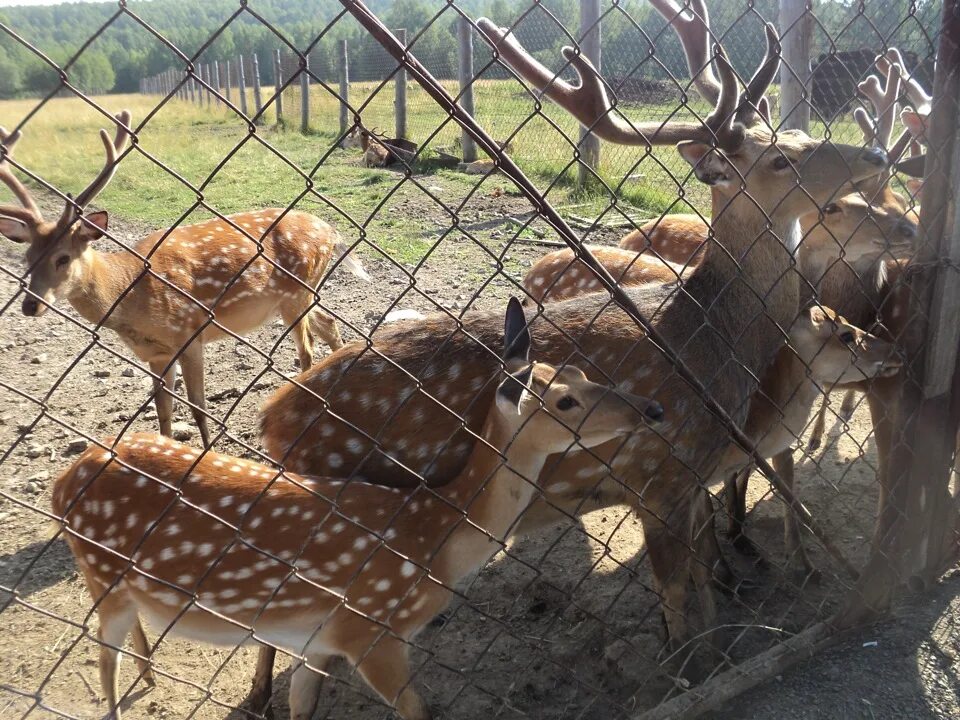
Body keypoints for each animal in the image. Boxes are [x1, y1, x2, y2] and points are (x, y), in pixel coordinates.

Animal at [0, 109, 370, 448]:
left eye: (62, 257)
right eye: (28, 258)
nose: (30, 305)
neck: (129, 290)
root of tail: (331, 231)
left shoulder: (189, 334)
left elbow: (197, 407)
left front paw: (206, 454)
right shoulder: (156, 354)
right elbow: (163, 411)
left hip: (296, 291)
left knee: (307, 351)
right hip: (301, 294)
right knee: (328, 325)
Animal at [52, 296, 664, 716]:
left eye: (580, 371)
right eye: (566, 401)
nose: (652, 408)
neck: (435, 535)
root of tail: (61, 485)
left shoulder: (317, 641)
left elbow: (302, 704)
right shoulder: (370, 630)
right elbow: (416, 709)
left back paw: (152, 675)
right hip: (102, 576)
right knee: (102, 659)